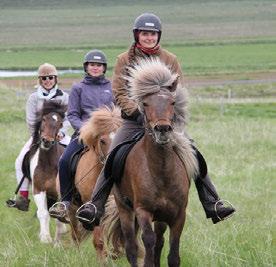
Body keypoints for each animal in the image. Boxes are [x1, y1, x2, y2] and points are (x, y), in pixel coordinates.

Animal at [29, 101, 68, 245]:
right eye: (44, 119)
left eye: (60, 123)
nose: (47, 141)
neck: (48, 165)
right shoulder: (39, 190)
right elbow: (43, 213)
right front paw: (45, 238)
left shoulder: (61, 192)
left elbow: (59, 214)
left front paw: (58, 242)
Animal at [103, 59, 198, 267]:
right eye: (145, 103)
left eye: (172, 102)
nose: (162, 129)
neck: (161, 171)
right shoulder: (143, 211)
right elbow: (148, 241)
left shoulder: (178, 214)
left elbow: (173, 251)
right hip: (125, 210)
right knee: (132, 246)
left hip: (161, 216)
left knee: (160, 240)